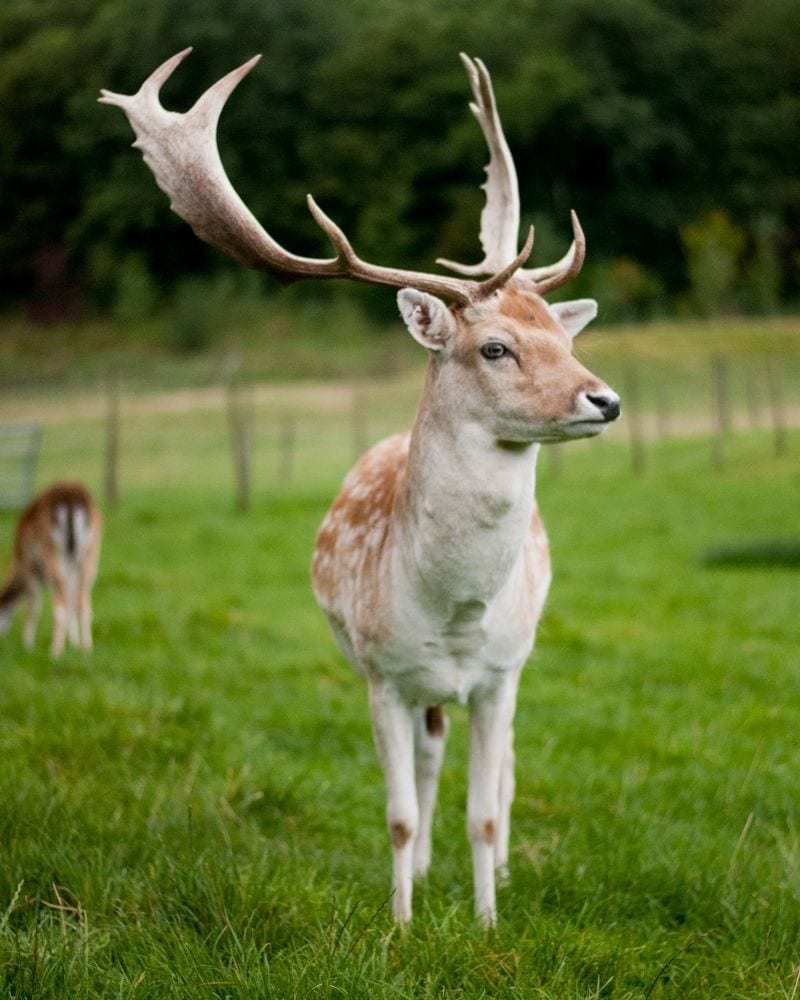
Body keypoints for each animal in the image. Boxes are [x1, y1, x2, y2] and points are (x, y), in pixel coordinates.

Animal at [0, 482, 102, 657]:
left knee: (60, 607)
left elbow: (33, 606)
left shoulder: (28, 565)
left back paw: (55, 652)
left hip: (52, 551)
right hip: (90, 555)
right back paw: (87, 648)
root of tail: (73, 500)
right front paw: (74, 643)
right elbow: (71, 598)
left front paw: (27, 645)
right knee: (82, 603)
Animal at [100, 49, 620, 925]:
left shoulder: (499, 674)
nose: (604, 399)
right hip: (414, 688)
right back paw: (424, 877)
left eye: (563, 335)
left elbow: (486, 810)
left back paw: (502, 873)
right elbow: (401, 812)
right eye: (495, 347)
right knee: (430, 758)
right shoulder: (383, 675)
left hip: (513, 666)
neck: (453, 611)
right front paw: (403, 922)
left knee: (503, 772)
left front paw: (488, 920)